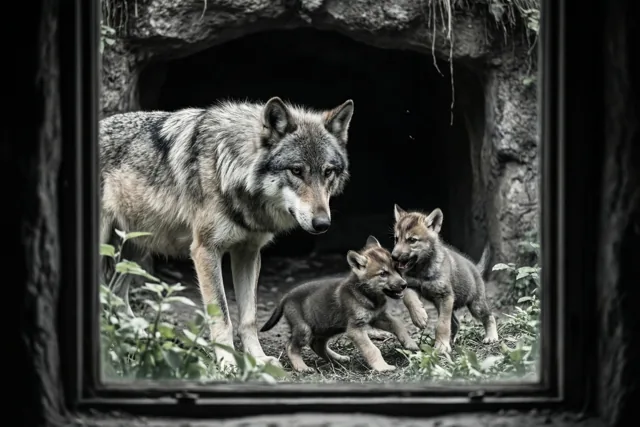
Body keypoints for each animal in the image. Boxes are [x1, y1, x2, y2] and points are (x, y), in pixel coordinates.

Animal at [99, 96, 355, 367]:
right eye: (296, 170)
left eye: (328, 172)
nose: (322, 223)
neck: (230, 169)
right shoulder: (205, 251)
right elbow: (222, 316)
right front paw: (227, 363)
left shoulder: (248, 253)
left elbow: (249, 318)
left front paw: (258, 359)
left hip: (135, 250)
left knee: (116, 294)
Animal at [259, 235, 420, 373]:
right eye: (383, 274)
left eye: (397, 269)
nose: (404, 285)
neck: (368, 296)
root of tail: (286, 296)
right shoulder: (355, 329)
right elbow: (372, 348)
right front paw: (382, 367)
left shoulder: (378, 317)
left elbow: (398, 323)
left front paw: (410, 343)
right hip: (304, 329)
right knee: (290, 346)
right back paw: (302, 367)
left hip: (325, 327)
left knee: (317, 345)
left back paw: (339, 359)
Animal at [391, 205, 499, 353]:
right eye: (396, 239)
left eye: (412, 240)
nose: (393, 257)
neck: (421, 270)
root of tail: (475, 268)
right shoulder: (412, 286)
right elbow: (409, 300)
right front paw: (419, 317)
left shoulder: (445, 296)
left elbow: (442, 324)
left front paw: (441, 346)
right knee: (455, 323)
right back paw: (451, 341)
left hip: (475, 305)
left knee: (489, 316)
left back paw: (491, 337)